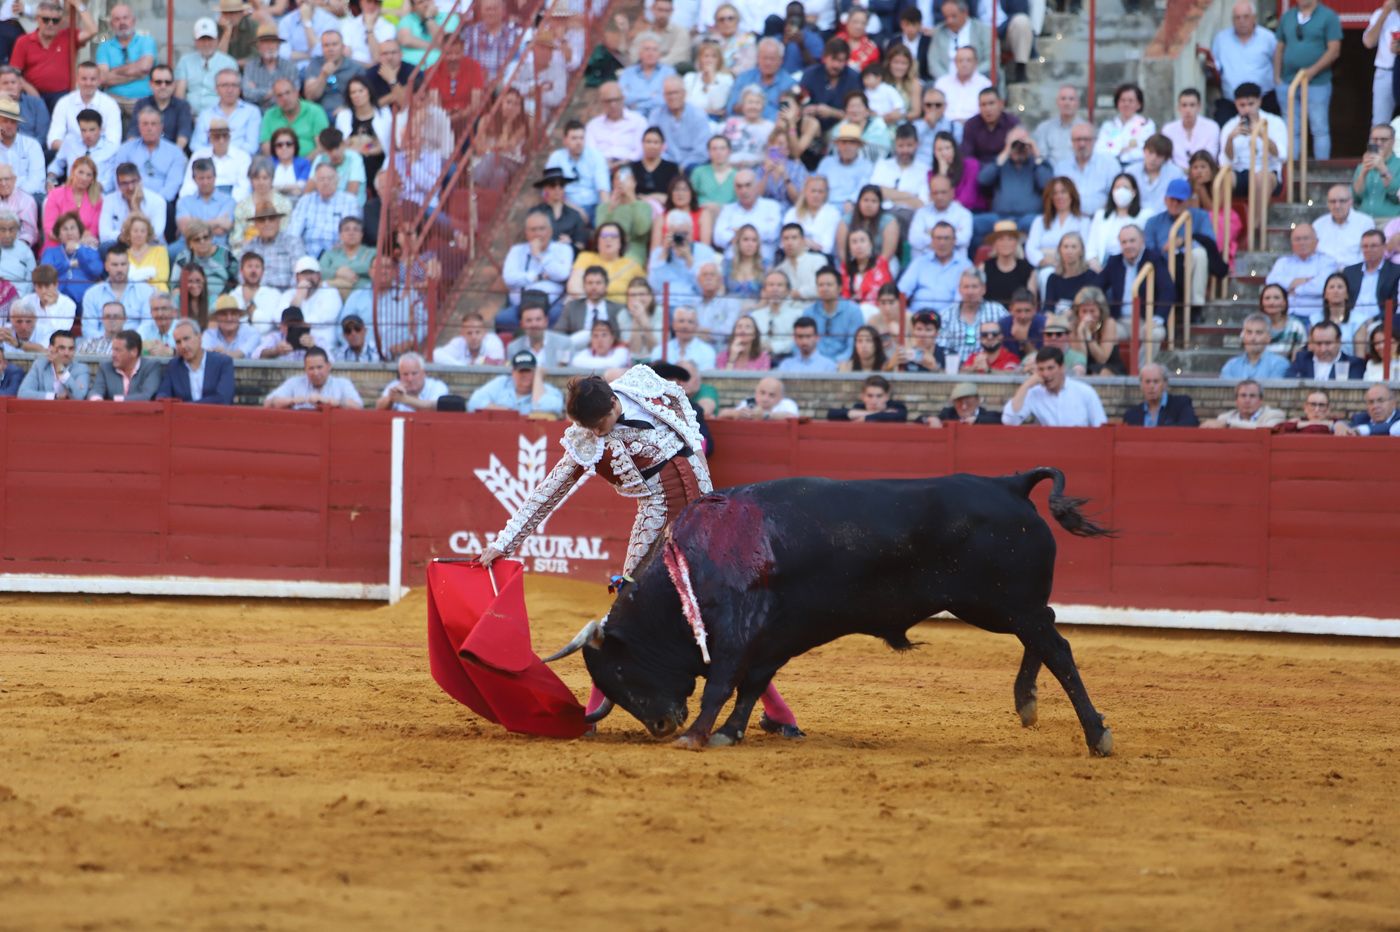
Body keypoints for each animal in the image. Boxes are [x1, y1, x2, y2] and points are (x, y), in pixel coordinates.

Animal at [546, 467, 1114, 750]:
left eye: (620, 669)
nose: (661, 726)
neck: (693, 562)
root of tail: (1008, 484)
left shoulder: (737, 633)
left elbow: (722, 681)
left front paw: (697, 735)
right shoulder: (774, 636)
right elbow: (752, 683)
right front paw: (730, 732)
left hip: (1000, 603)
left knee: (1057, 646)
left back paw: (1096, 734)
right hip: (1005, 606)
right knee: (1046, 633)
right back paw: (1027, 702)